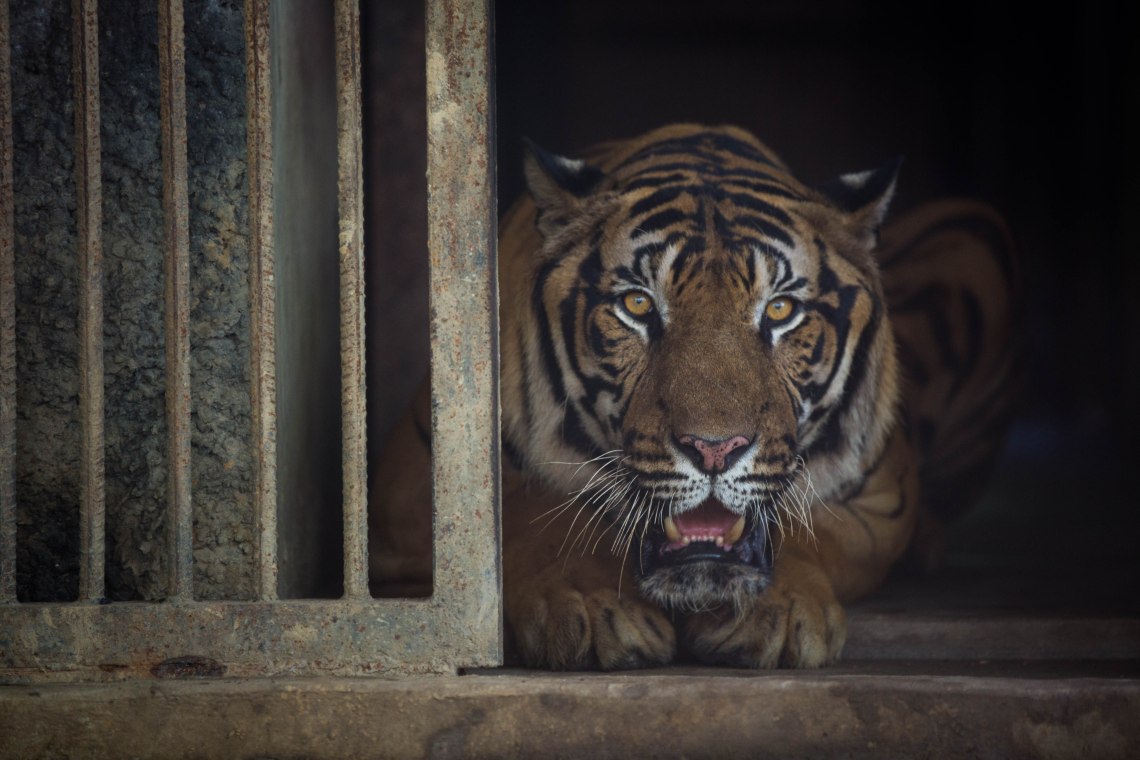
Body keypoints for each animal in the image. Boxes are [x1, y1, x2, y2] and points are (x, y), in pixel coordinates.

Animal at [369, 124, 1019, 669]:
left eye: (779, 310)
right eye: (637, 305)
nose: (714, 449)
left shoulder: (883, 499)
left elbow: (809, 529)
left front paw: (777, 614)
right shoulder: (411, 489)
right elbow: (523, 511)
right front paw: (587, 606)